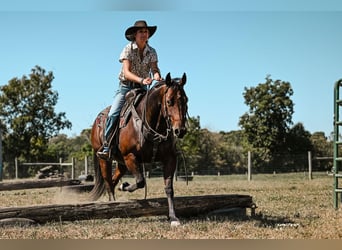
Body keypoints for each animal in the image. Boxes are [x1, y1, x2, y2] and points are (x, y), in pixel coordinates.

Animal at [89, 73, 188, 227]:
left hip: (121, 163)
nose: (180, 130)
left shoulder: (170, 158)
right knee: (108, 183)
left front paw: (173, 217)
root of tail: (96, 121)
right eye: (169, 101)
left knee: (113, 180)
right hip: (104, 159)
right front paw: (125, 186)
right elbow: (141, 181)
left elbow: (169, 189)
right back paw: (113, 207)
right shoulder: (130, 156)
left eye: (186, 100)